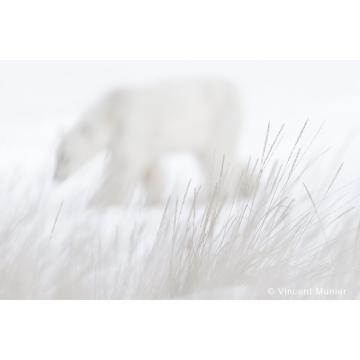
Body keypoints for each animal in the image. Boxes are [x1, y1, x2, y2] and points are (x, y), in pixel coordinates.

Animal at [53, 79, 243, 208]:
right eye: (57, 156)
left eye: (66, 157)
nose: (56, 177)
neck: (114, 111)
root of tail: (235, 90)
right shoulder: (140, 142)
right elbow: (150, 170)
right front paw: (153, 201)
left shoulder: (133, 127)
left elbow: (122, 169)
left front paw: (98, 202)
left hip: (217, 122)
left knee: (216, 156)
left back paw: (217, 195)